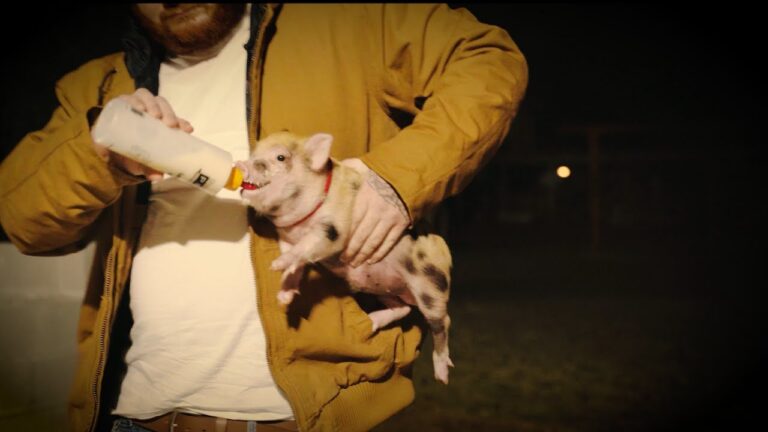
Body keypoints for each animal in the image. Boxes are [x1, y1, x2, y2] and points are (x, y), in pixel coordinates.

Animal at [236, 131, 454, 384]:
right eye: (255, 154)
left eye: (280, 157)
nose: (241, 164)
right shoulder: (287, 238)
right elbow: (296, 265)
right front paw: (284, 296)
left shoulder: (332, 229)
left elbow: (305, 248)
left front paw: (276, 265)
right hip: (383, 289)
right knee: (404, 309)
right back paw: (372, 321)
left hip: (430, 284)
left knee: (442, 321)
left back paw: (442, 375)